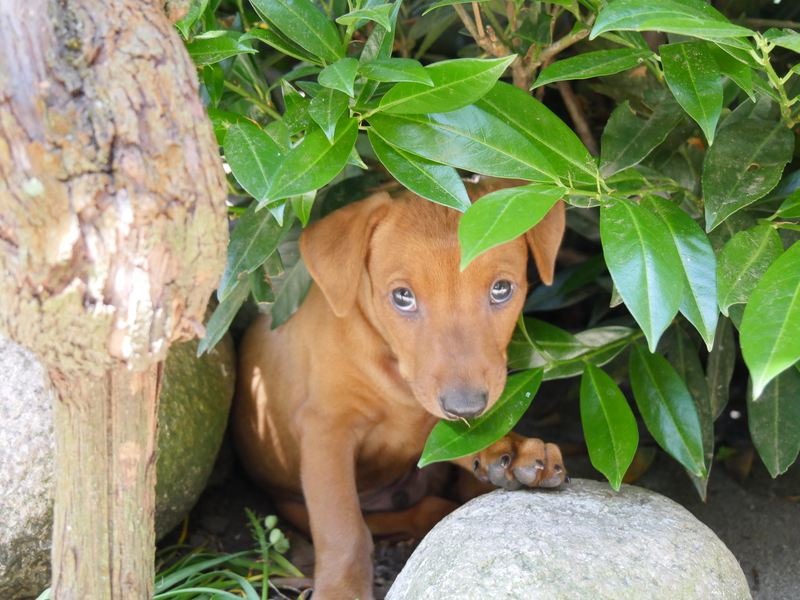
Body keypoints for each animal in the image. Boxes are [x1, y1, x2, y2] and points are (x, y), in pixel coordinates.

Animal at [232, 177, 567, 600]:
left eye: (502, 289)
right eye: (402, 297)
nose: (467, 407)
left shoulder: (431, 429)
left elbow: (460, 440)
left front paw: (512, 447)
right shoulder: (325, 429)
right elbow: (343, 530)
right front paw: (342, 590)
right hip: (296, 503)